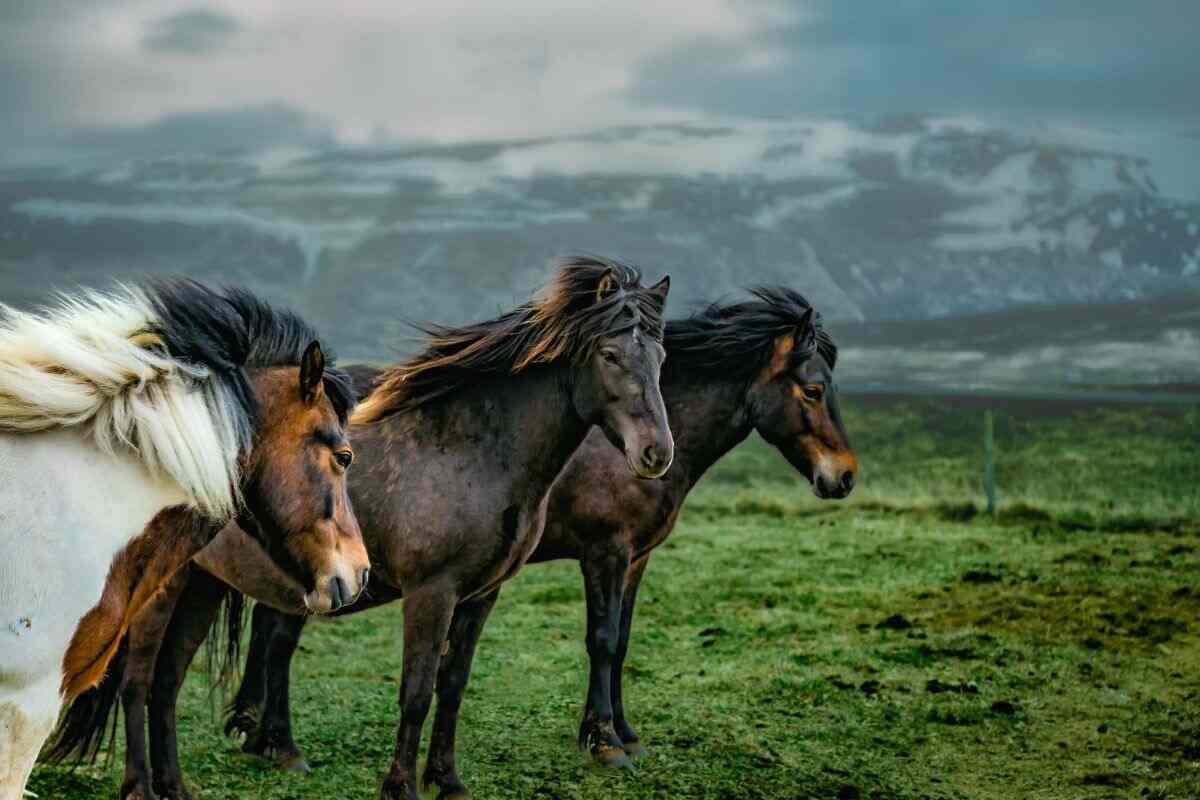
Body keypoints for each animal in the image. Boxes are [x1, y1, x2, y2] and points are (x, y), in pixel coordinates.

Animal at [67, 286, 854, 799]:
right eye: (813, 391)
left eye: (660, 360)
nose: (843, 476)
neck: (476, 447)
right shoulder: (524, 571)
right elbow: (441, 684)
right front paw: (600, 744)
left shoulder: (517, 585)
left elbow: (464, 682)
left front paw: (457, 777)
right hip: (169, 586)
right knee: (143, 678)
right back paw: (158, 781)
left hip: (208, 583)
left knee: (177, 678)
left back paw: (229, 763)